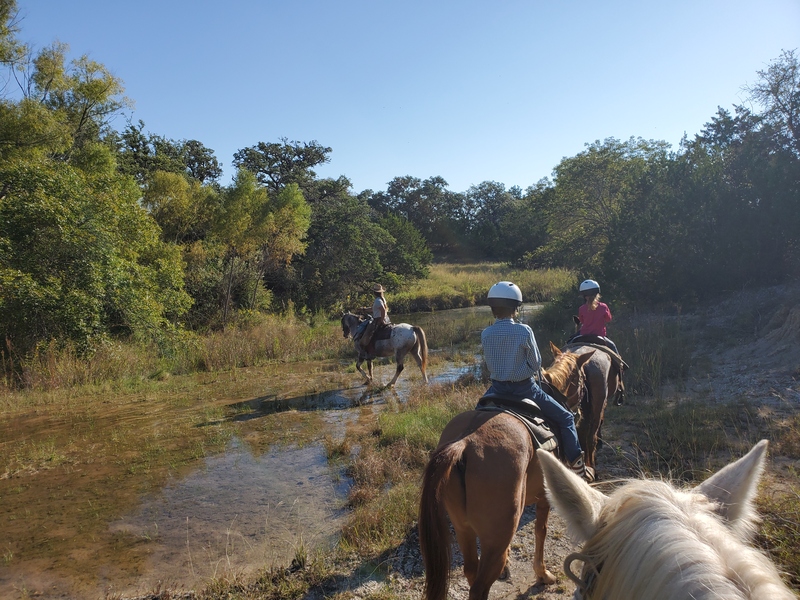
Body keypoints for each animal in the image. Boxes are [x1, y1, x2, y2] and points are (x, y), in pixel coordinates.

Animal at [418, 344, 592, 600]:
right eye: (581, 379)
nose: (580, 411)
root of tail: (464, 443)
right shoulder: (544, 498)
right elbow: (541, 532)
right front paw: (543, 574)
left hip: (463, 529)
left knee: (470, 569)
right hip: (492, 540)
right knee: (479, 587)